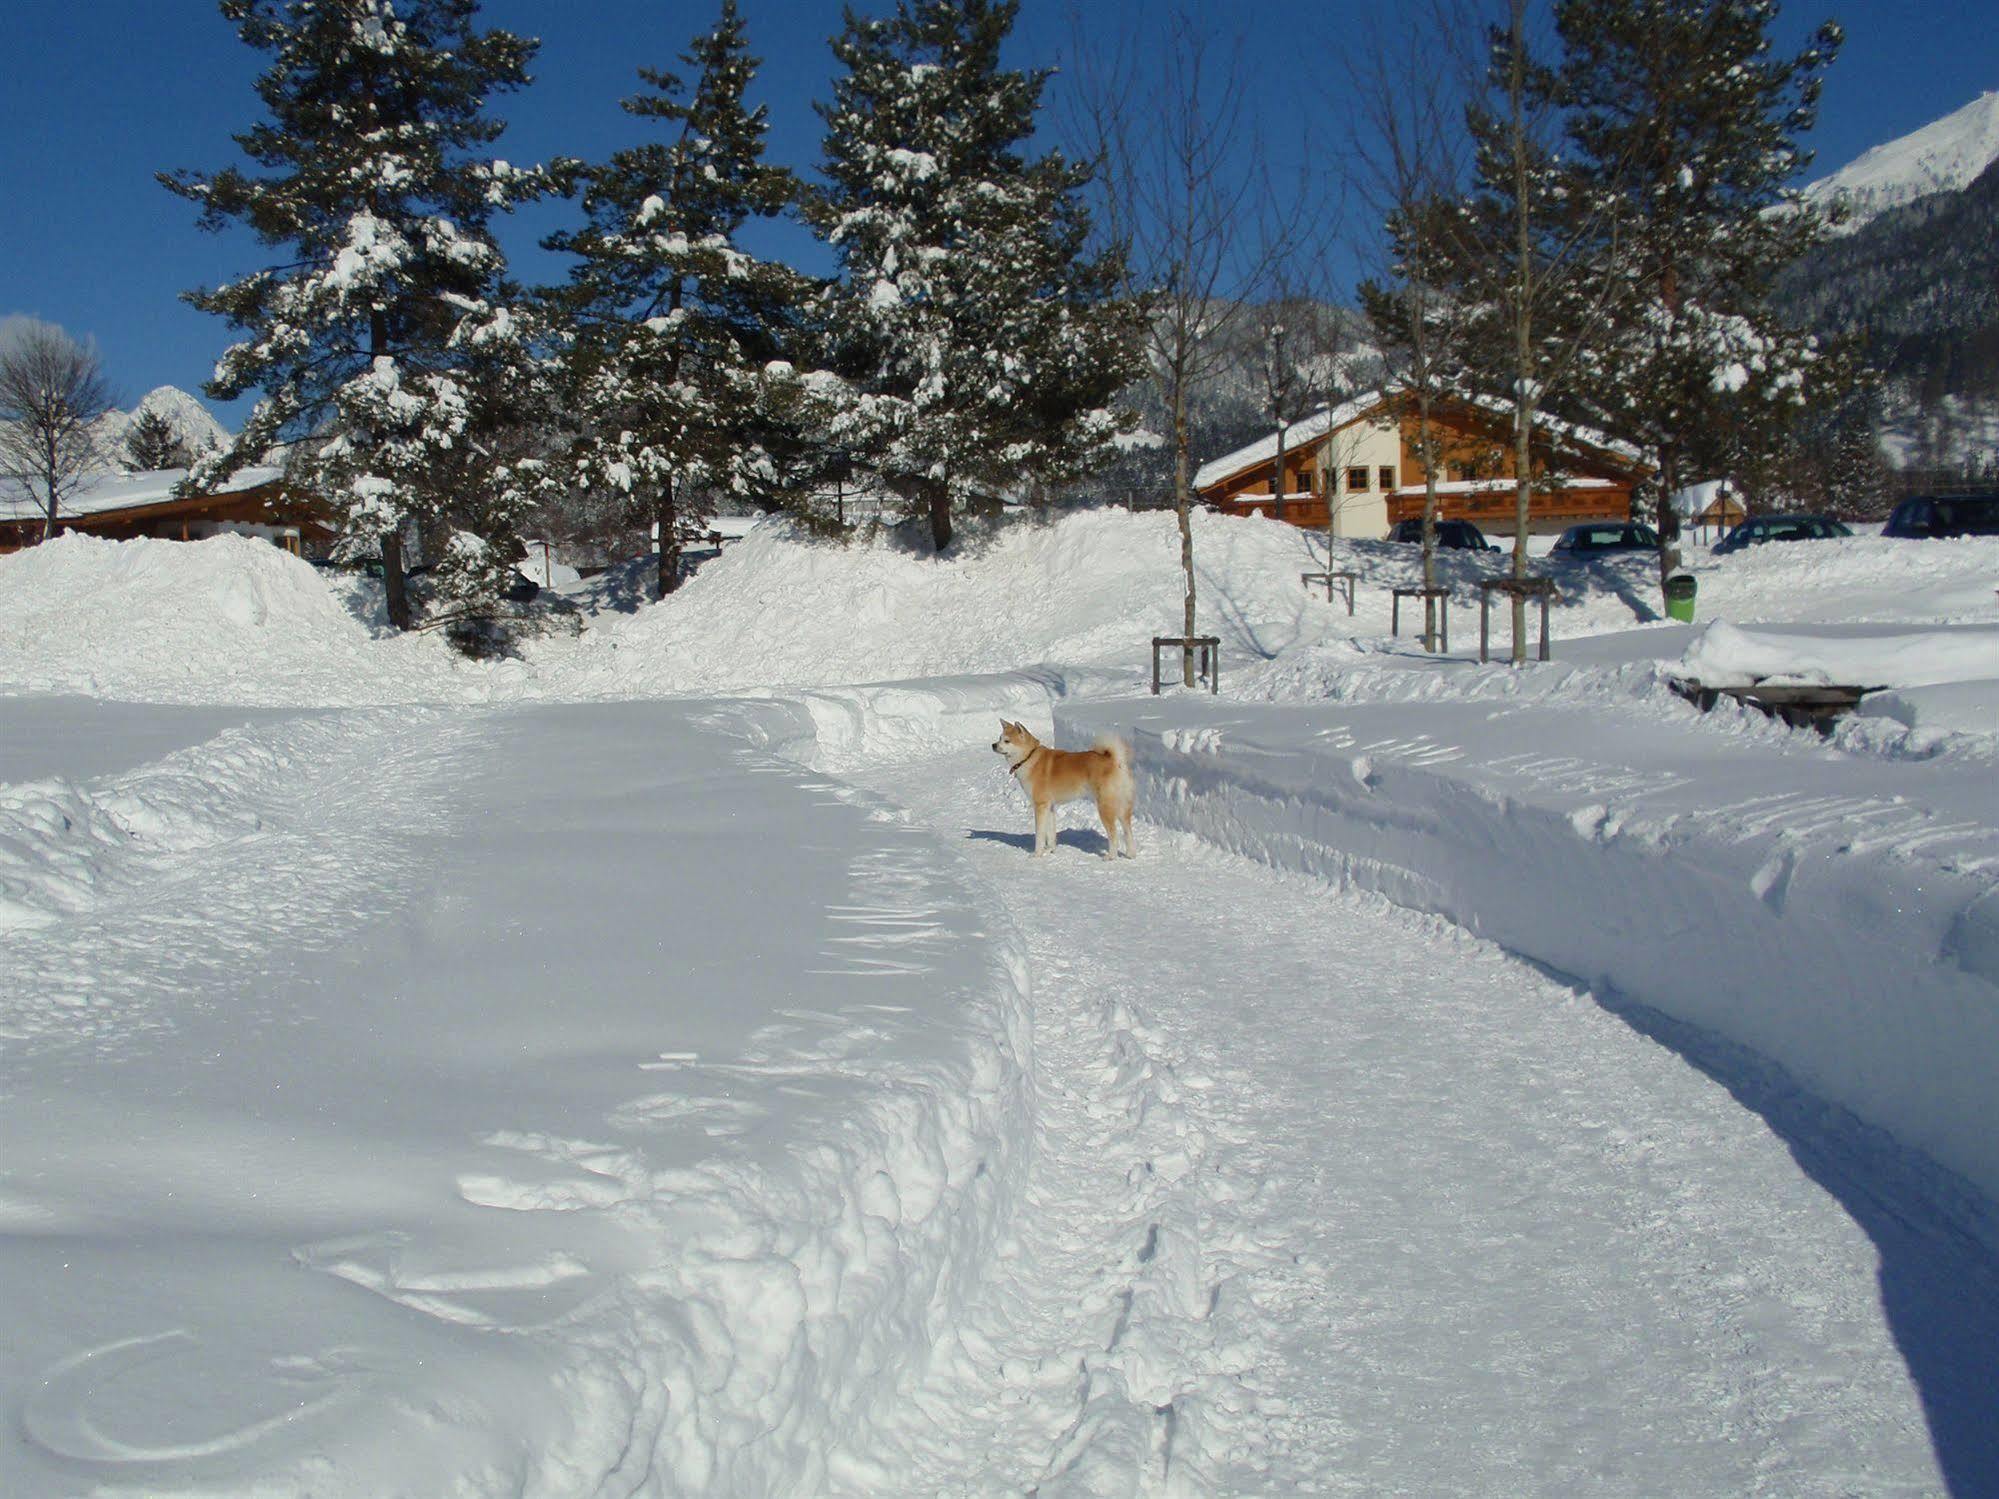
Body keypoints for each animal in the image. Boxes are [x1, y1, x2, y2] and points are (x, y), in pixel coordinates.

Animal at [991, 723, 1135, 863]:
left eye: (1007, 741)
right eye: (999, 738)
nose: (993, 745)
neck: (1029, 758)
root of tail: (1115, 761)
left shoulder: (1040, 806)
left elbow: (1040, 835)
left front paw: (1037, 854)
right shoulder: (1050, 807)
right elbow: (1051, 833)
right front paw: (1050, 850)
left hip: (1105, 807)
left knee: (1114, 835)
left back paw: (1111, 856)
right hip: (1122, 807)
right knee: (1128, 831)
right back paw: (1130, 854)